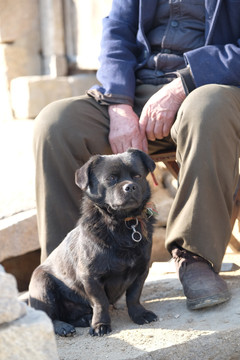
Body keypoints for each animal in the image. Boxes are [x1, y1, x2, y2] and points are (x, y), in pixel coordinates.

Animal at [28, 148, 158, 336]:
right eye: (111, 178)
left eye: (137, 176)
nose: (130, 186)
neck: (122, 223)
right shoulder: (91, 278)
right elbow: (100, 302)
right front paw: (100, 324)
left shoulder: (141, 270)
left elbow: (134, 296)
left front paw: (139, 314)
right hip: (42, 286)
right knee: (48, 318)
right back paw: (63, 327)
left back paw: (83, 319)